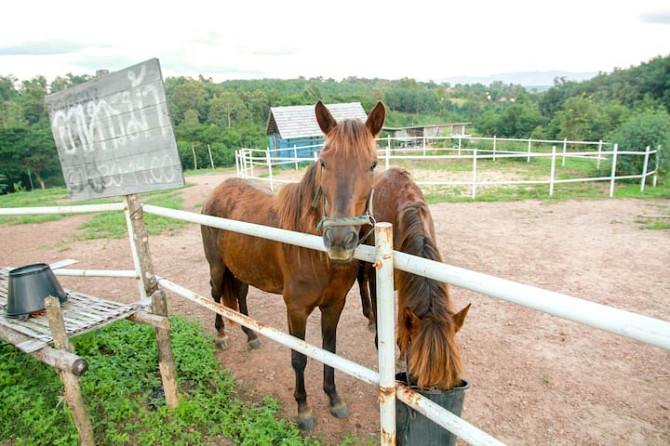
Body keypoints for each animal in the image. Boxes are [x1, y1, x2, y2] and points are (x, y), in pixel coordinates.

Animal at [202, 100, 386, 428]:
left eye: (373, 164)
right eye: (324, 163)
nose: (339, 240)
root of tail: (218, 191)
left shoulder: (334, 305)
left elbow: (329, 351)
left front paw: (334, 399)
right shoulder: (296, 309)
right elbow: (299, 358)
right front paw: (303, 409)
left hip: (241, 270)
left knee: (240, 296)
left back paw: (251, 336)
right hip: (217, 266)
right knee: (215, 296)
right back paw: (222, 336)